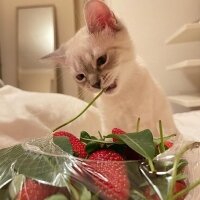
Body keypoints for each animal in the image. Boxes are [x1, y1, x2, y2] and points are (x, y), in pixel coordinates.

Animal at [44, 0, 177, 136]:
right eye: (80, 76)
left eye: (101, 60)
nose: (95, 84)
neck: (120, 95)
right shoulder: (108, 125)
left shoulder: (142, 123)